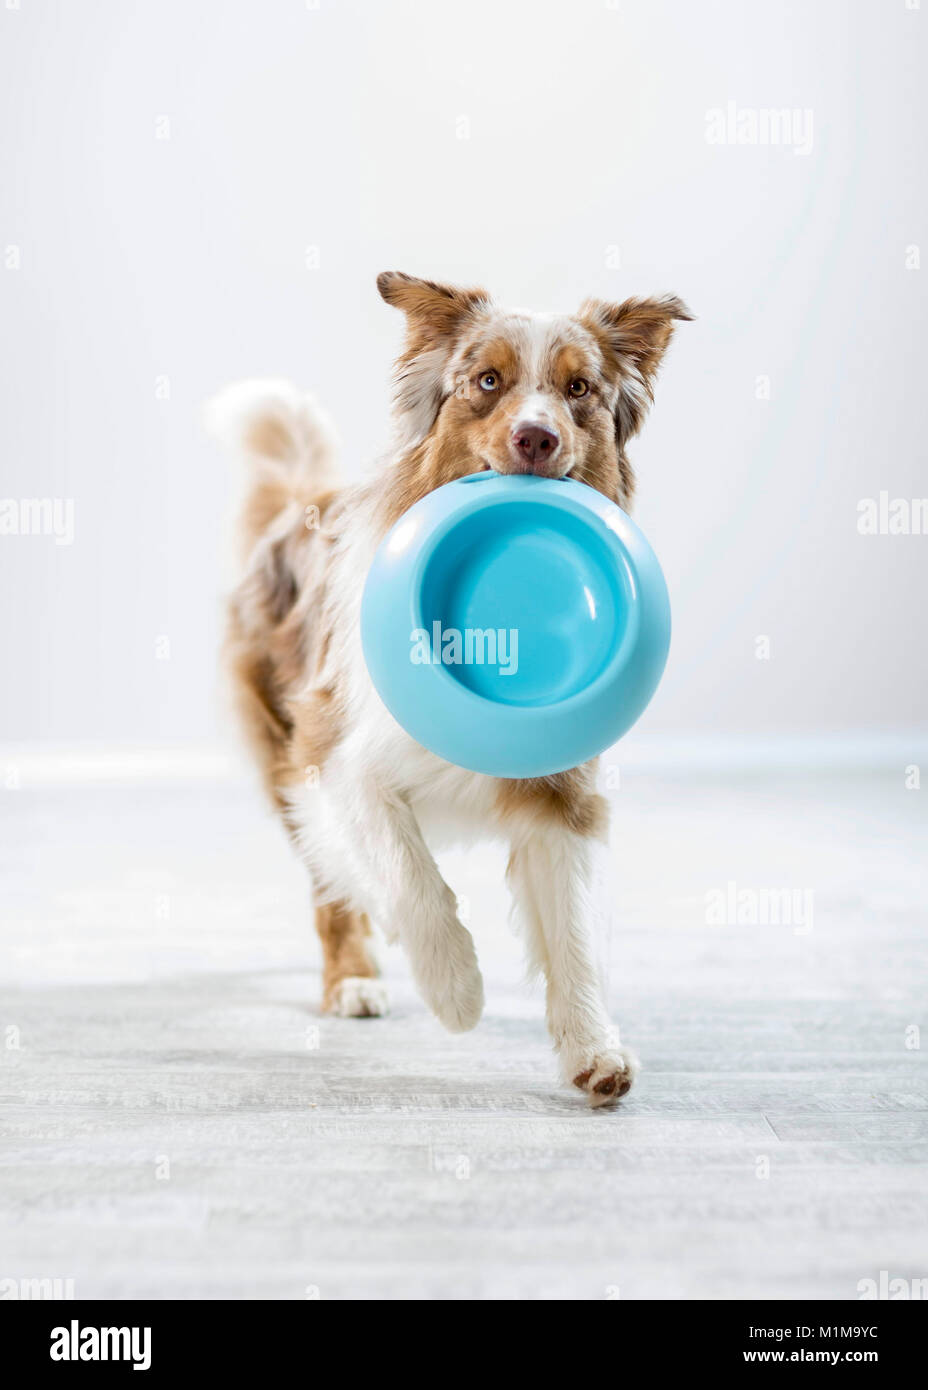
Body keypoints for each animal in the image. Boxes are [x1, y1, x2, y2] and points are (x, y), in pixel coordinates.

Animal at [209, 273, 689, 1106]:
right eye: (487, 383)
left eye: (580, 390)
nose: (537, 439)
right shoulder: (336, 753)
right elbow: (411, 877)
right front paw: (456, 988)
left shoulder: (563, 790)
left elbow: (573, 931)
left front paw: (593, 1051)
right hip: (284, 755)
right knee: (333, 884)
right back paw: (354, 979)